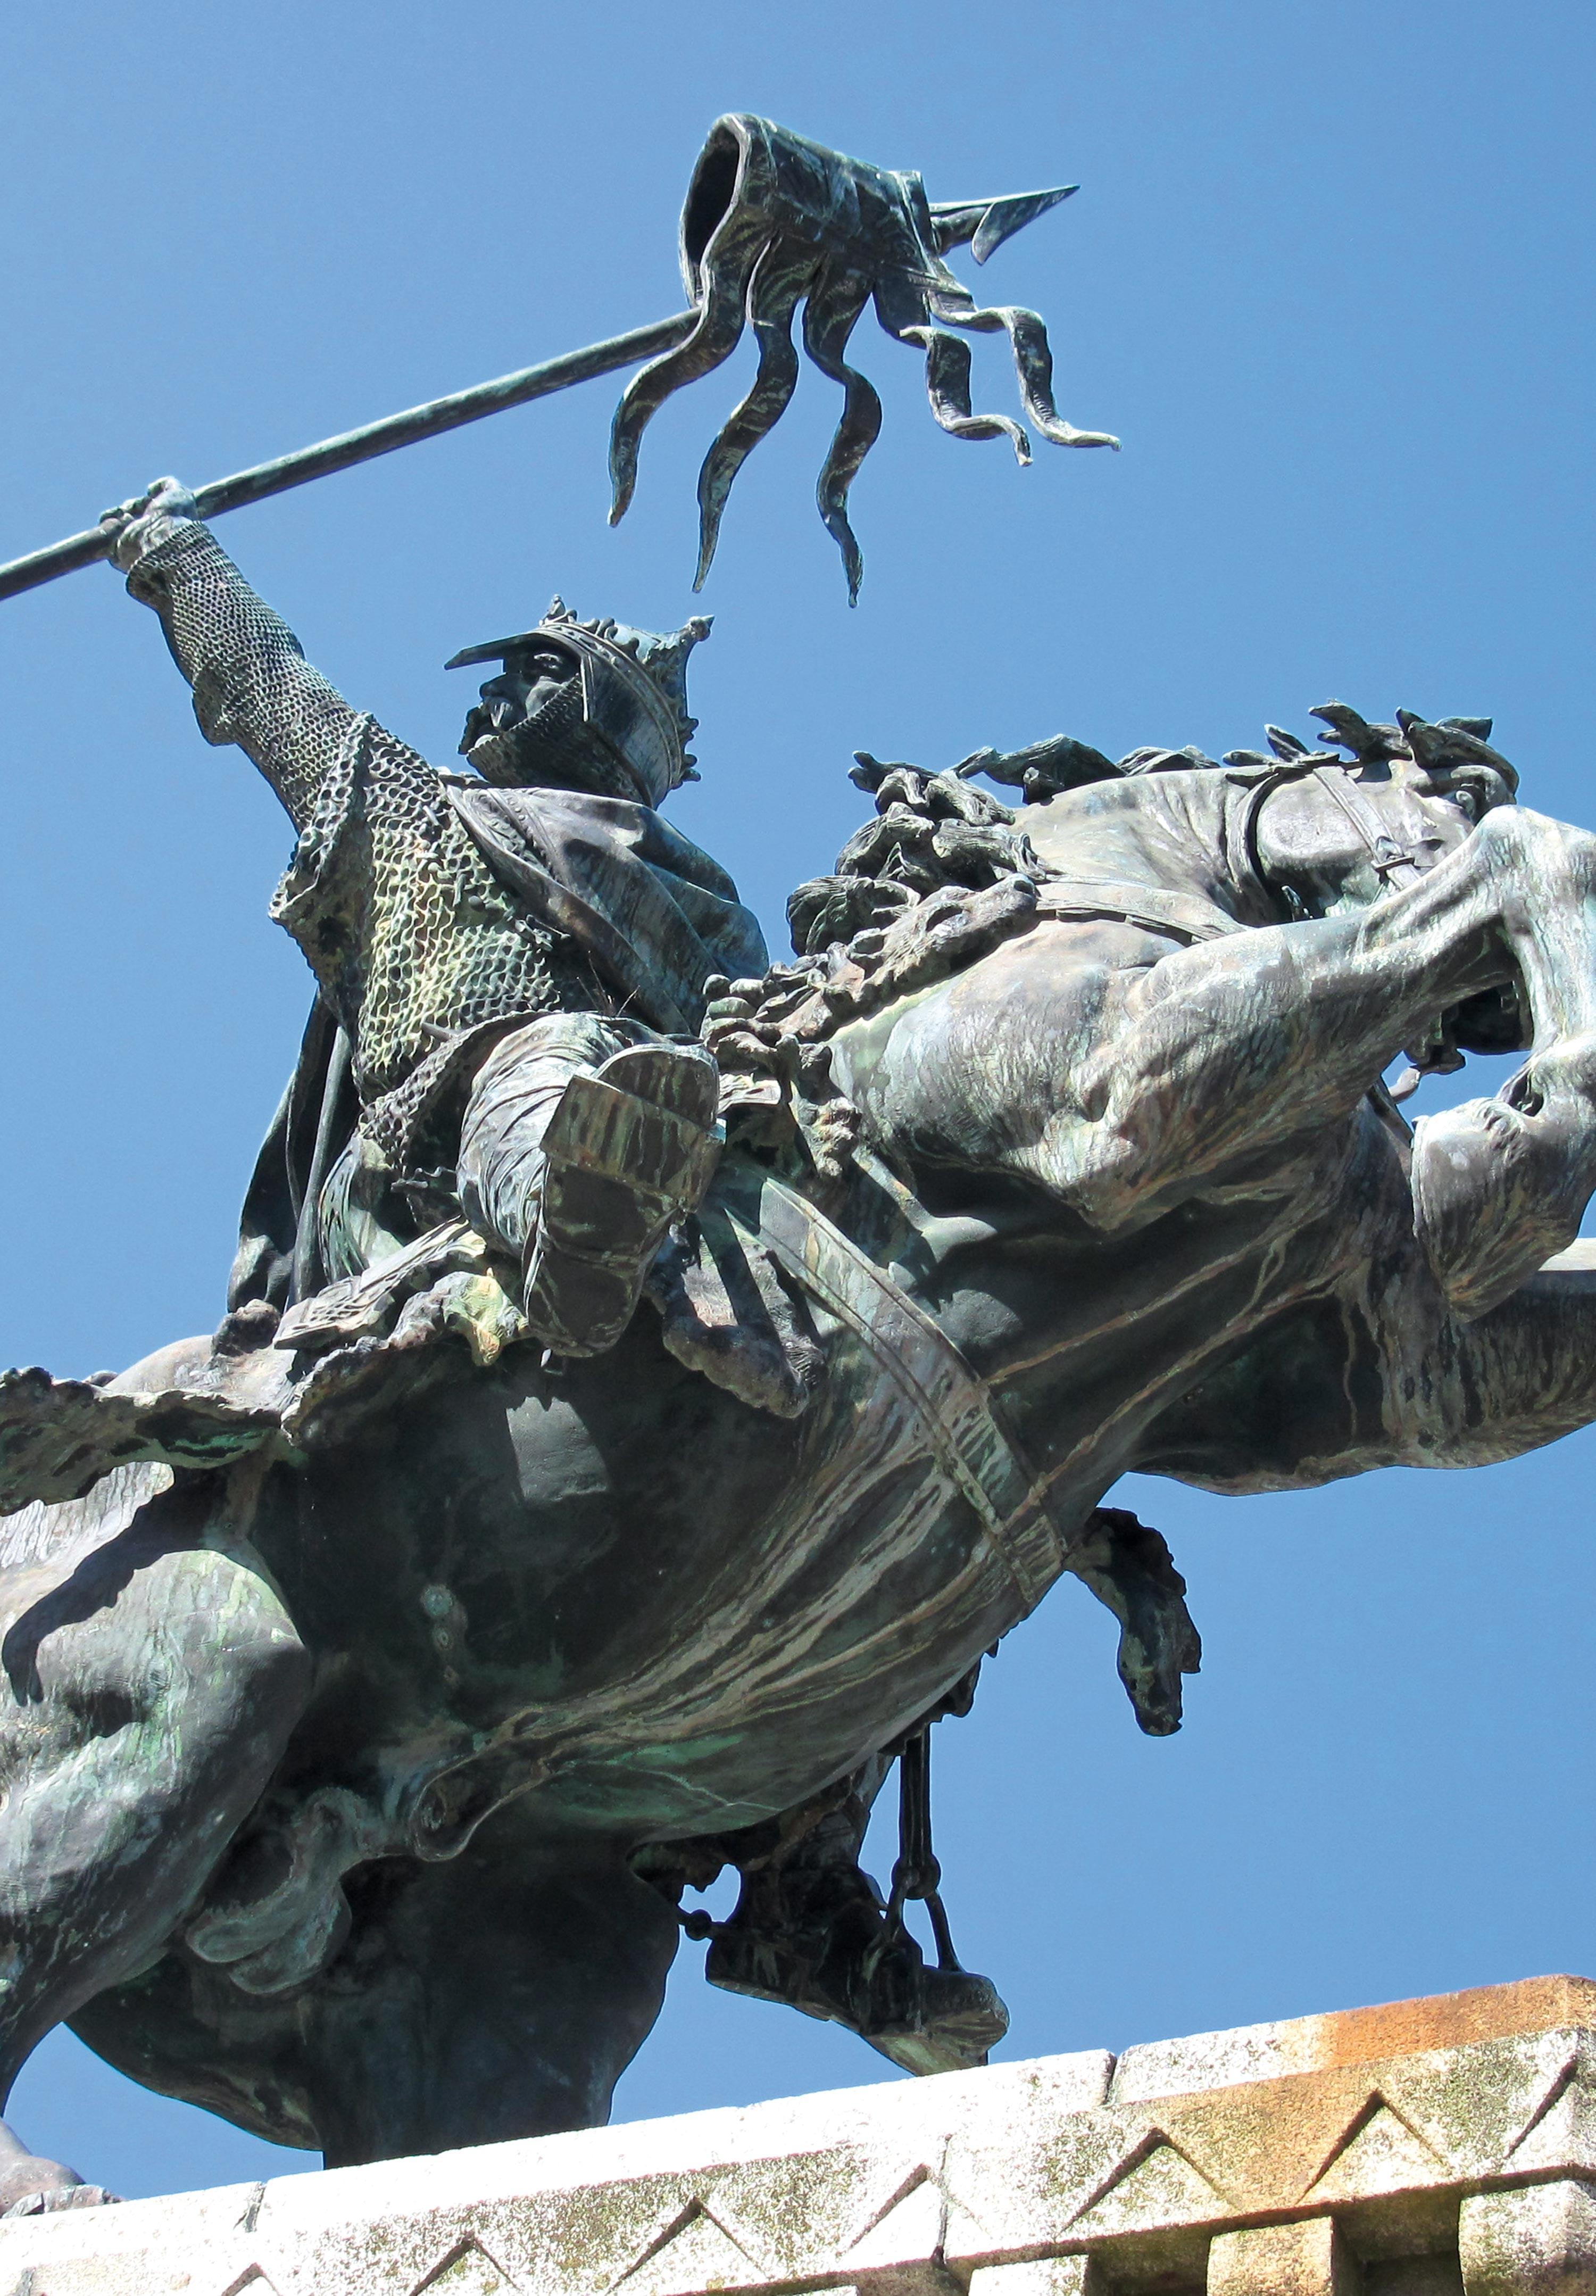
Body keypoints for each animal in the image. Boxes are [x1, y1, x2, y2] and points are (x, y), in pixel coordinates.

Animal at [3, 707, 1596, 2195]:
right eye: (1442, 789)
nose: (1492, 1032)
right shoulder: (1114, 1092)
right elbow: (1524, 864)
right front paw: (1561, 1072)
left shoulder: (1377, 1363)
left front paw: (1537, 1113)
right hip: (179, 1704)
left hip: (494, 1981)